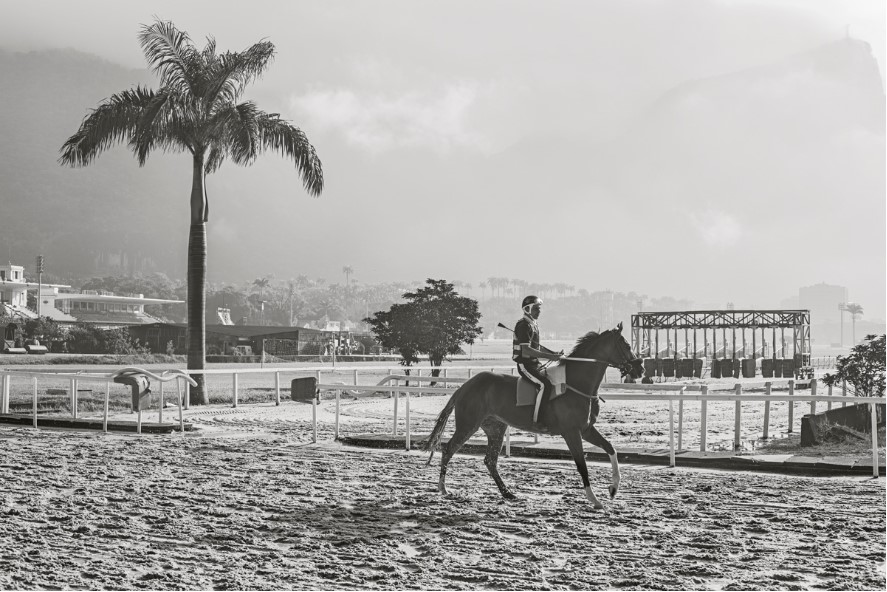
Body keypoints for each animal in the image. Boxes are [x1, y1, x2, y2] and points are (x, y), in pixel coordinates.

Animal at [424, 324, 640, 508]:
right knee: (448, 450)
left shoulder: (586, 429)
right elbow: (582, 465)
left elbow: (611, 449)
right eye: (627, 345)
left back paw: (507, 492)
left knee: (490, 461)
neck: (576, 382)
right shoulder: (571, 432)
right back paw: (443, 488)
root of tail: (465, 386)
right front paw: (594, 499)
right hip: (468, 425)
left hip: (496, 428)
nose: (640, 367)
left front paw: (613, 489)